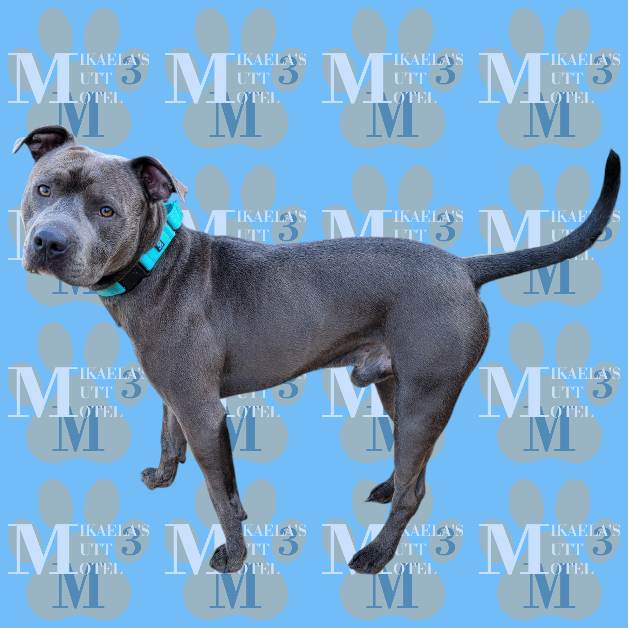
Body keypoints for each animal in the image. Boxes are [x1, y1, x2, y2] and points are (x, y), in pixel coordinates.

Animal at [14, 125, 620, 574]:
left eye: (107, 210)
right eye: (43, 190)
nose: (49, 241)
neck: (157, 263)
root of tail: (463, 269)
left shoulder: (204, 411)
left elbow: (220, 493)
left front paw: (234, 557)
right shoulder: (176, 396)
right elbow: (170, 439)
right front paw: (163, 478)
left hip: (427, 395)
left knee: (415, 490)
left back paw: (376, 554)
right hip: (396, 388)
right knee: (415, 469)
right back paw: (390, 484)